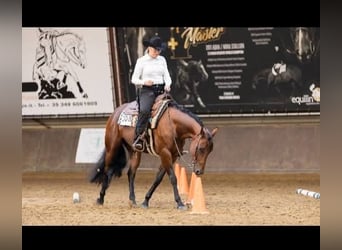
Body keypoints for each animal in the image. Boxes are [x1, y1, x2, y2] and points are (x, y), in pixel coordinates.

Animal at [89, 94, 218, 210]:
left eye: (210, 151)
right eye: (201, 148)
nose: (199, 171)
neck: (173, 125)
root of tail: (116, 112)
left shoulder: (173, 155)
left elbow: (158, 178)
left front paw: (145, 201)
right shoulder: (165, 153)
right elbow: (173, 178)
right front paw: (180, 203)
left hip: (134, 151)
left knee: (131, 173)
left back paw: (132, 200)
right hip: (112, 147)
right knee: (107, 171)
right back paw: (100, 198)